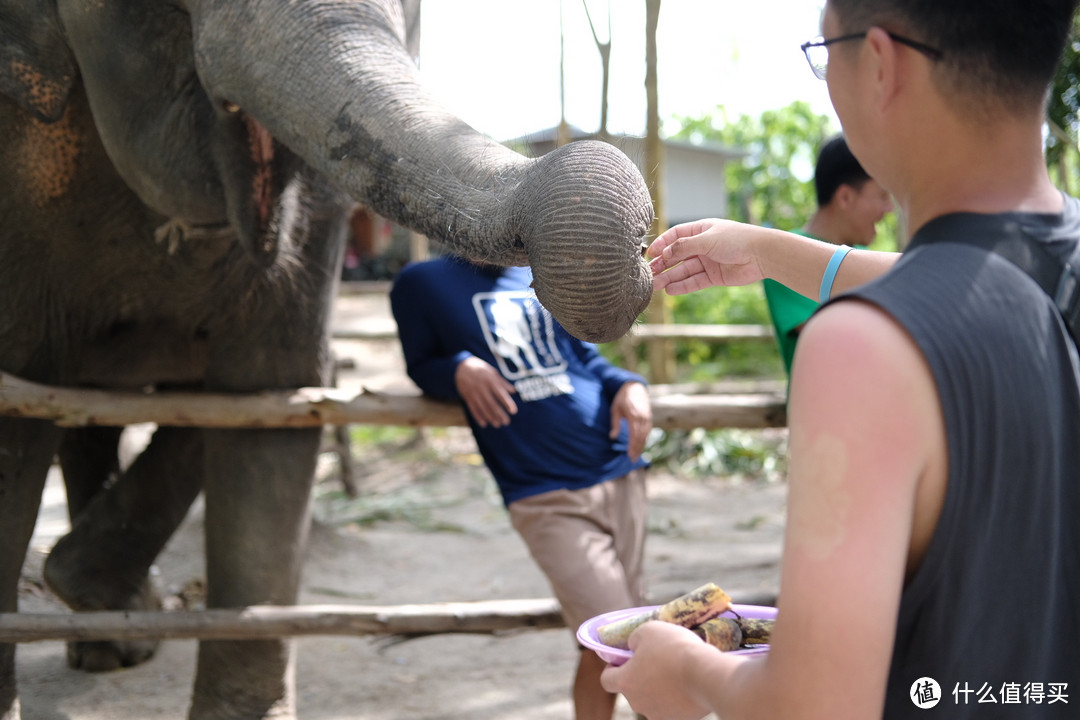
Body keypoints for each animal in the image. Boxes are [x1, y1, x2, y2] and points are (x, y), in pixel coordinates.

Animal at [2, 1, 648, 720]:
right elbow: (18, 418)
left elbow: (271, 401)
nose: (646, 245)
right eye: (169, 11)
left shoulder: (317, 216)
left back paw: (104, 622)